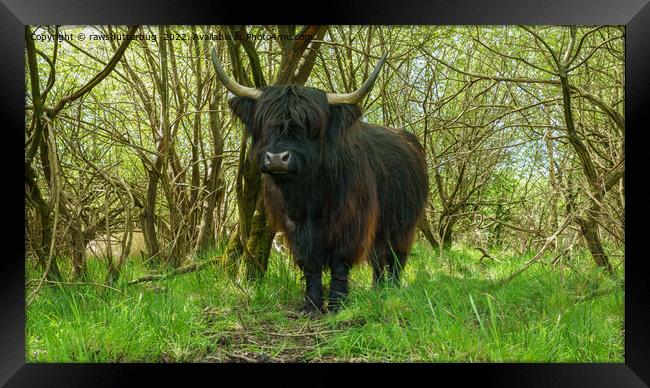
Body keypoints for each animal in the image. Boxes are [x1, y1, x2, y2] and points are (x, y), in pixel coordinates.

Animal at [210, 50, 428, 314]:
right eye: (264, 123)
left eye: (310, 125)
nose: (277, 158)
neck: (310, 195)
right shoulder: (294, 225)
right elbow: (310, 263)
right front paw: (312, 304)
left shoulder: (351, 222)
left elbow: (339, 262)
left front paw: (337, 303)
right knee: (378, 258)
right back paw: (377, 289)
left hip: (403, 224)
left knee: (395, 257)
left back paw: (391, 290)